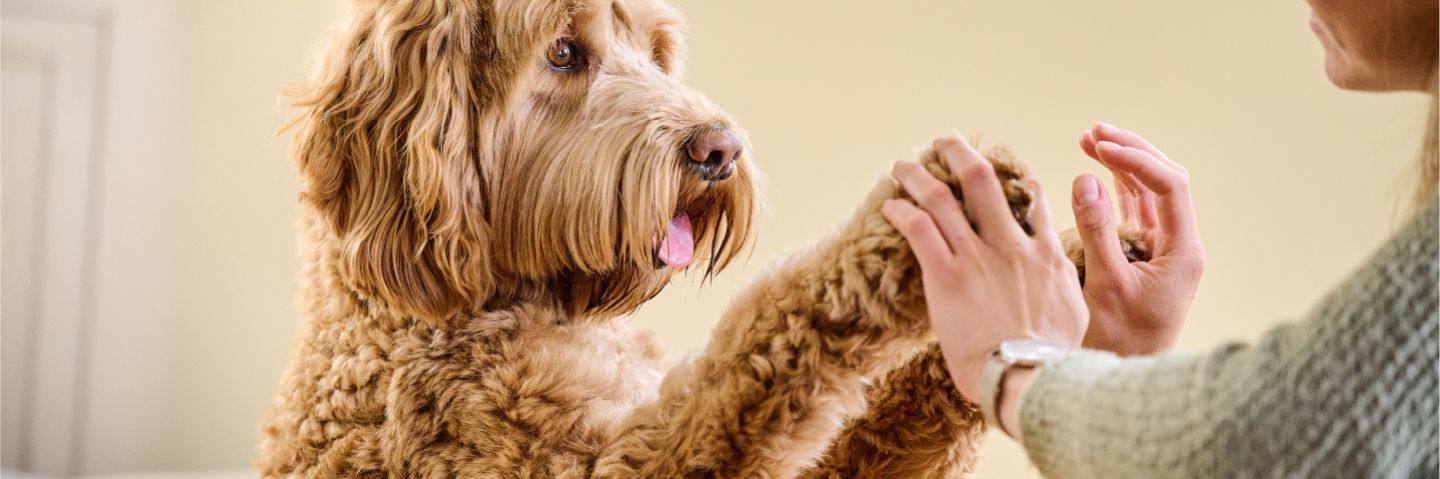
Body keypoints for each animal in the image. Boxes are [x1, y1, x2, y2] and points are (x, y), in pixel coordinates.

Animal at [256, 1, 1146, 474]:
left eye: (654, 51)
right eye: (564, 51)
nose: (721, 149)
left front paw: (1077, 260)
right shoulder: (596, 458)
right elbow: (750, 352)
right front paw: (896, 234)